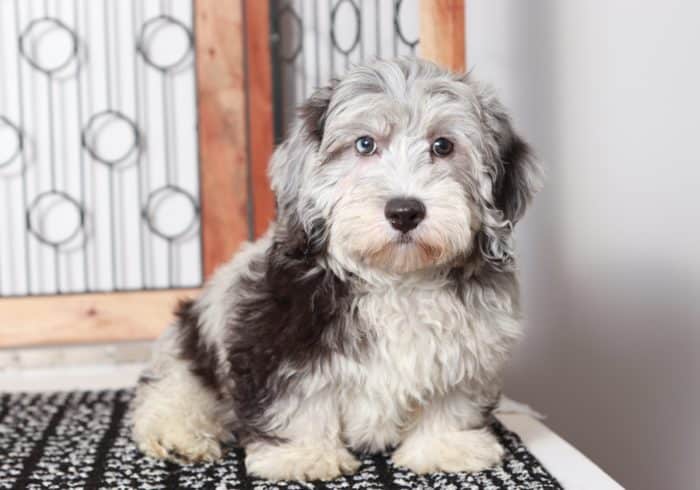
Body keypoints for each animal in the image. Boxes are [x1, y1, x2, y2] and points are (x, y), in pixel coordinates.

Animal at [134, 58, 544, 482]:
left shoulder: (468, 348)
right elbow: (298, 401)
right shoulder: (282, 340)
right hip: (195, 340)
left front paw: (444, 446)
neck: (397, 280)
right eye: (365, 144)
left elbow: (452, 398)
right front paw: (303, 455)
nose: (404, 211)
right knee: (175, 387)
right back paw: (177, 433)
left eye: (443, 146)